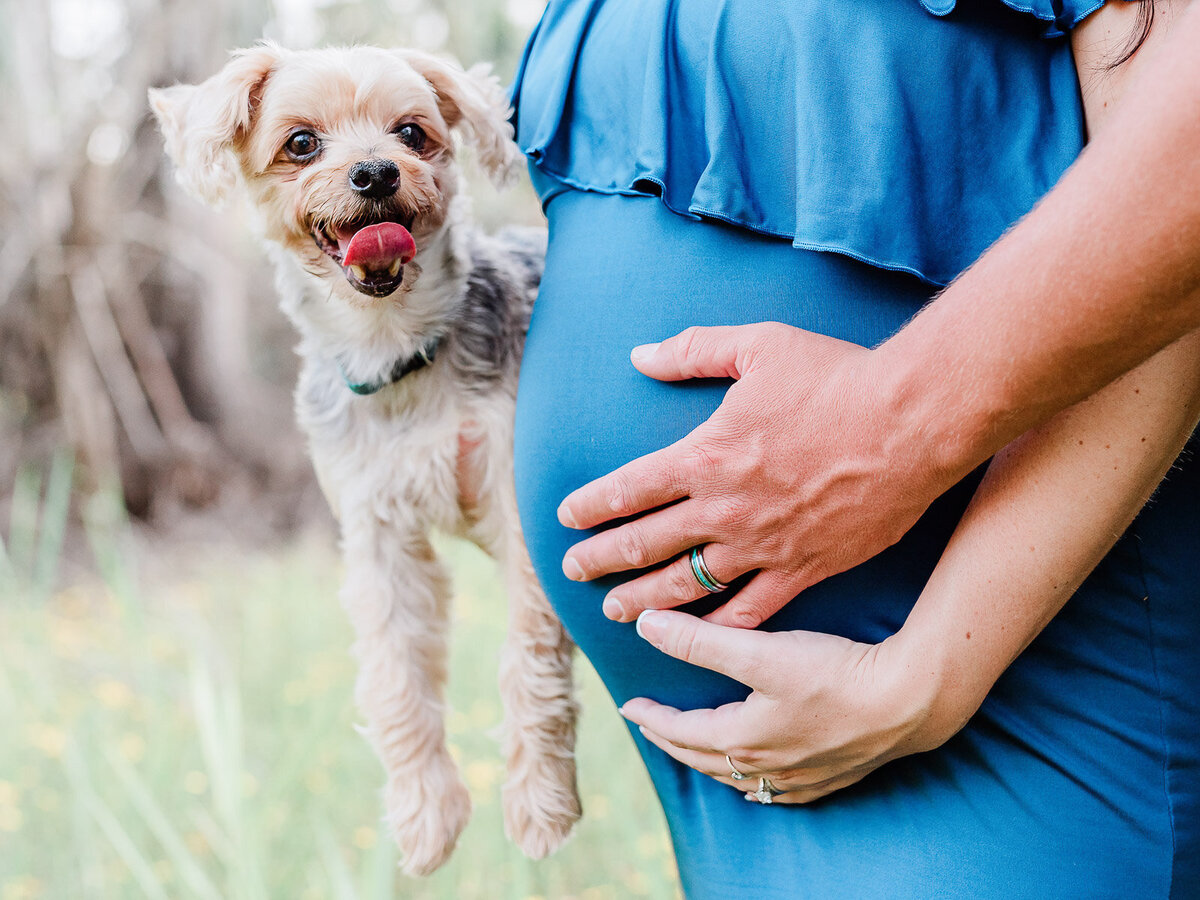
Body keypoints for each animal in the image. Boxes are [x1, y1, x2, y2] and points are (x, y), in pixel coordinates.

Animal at [147, 44, 578, 883]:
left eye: (412, 132)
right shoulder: (380, 538)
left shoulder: (519, 516)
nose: (376, 172)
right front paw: (425, 815)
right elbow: (396, 677)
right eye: (301, 143)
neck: (400, 349)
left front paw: (540, 806)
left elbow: (530, 659)